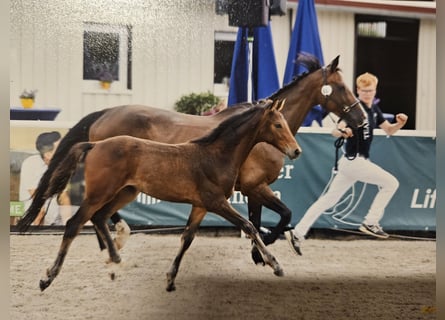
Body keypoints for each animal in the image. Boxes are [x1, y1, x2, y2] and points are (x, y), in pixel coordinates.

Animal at [17, 55, 364, 264]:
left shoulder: (251, 190)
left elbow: (259, 220)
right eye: (341, 87)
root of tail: (106, 112)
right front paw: (269, 245)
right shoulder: (255, 186)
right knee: (100, 211)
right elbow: (281, 215)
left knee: (100, 212)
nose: (361, 118)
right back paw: (119, 237)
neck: (257, 137)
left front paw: (262, 250)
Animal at [38, 100, 300, 292]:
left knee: (100, 218)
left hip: (125, 192)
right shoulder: (216, 202)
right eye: (278, 125)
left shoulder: (200, 206)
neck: (216, 155)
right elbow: (249, 226)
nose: (296, 151)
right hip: (99, 193)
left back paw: (116, 261)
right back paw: (48, 277)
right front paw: (275, 264)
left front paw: (171, 279)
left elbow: (187, 238)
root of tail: (95, 144)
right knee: (74, 224)